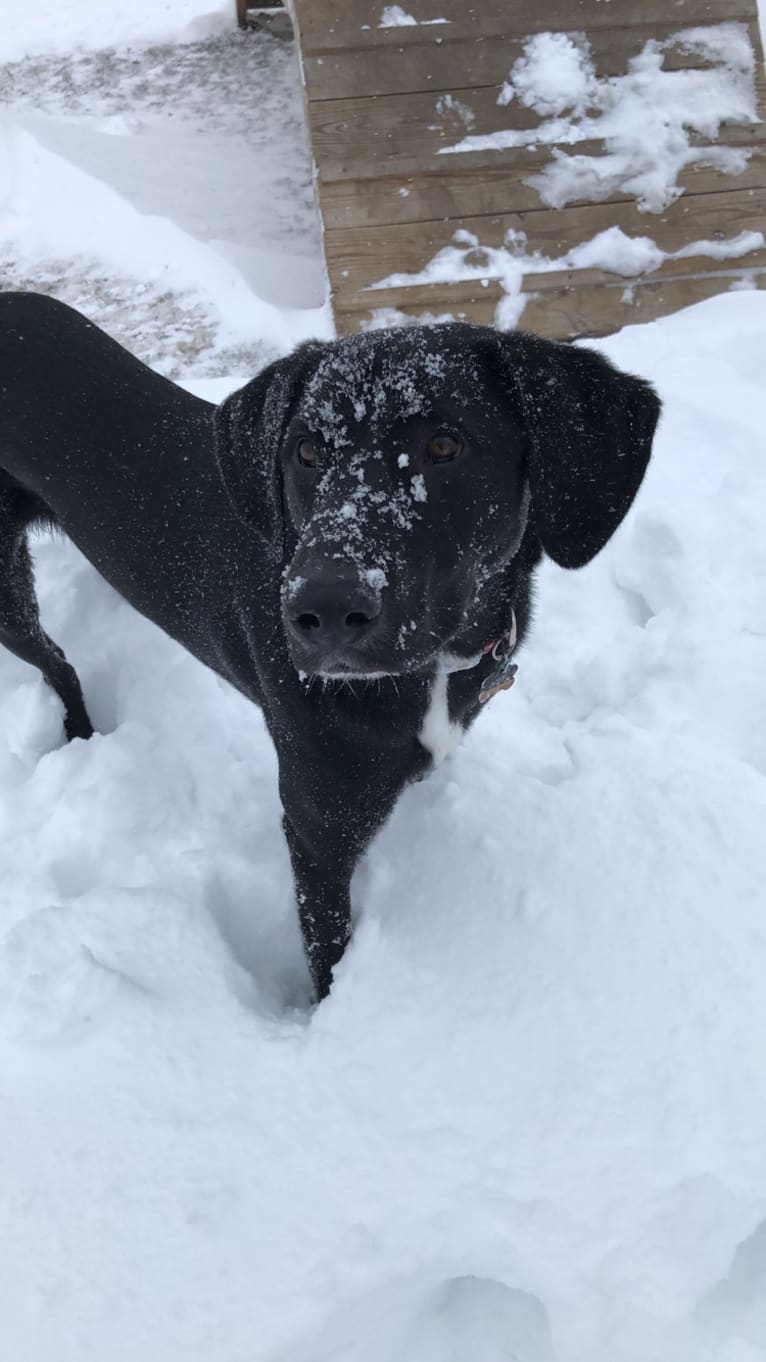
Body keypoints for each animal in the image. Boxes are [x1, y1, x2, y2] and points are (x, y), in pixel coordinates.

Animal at [0, 292, 656, 996]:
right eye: (307, 451)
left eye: (445, 443)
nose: (324, 610)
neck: (435, 668)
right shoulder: (317, 832)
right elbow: (328, 954)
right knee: (58, 661)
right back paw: (77, 731)